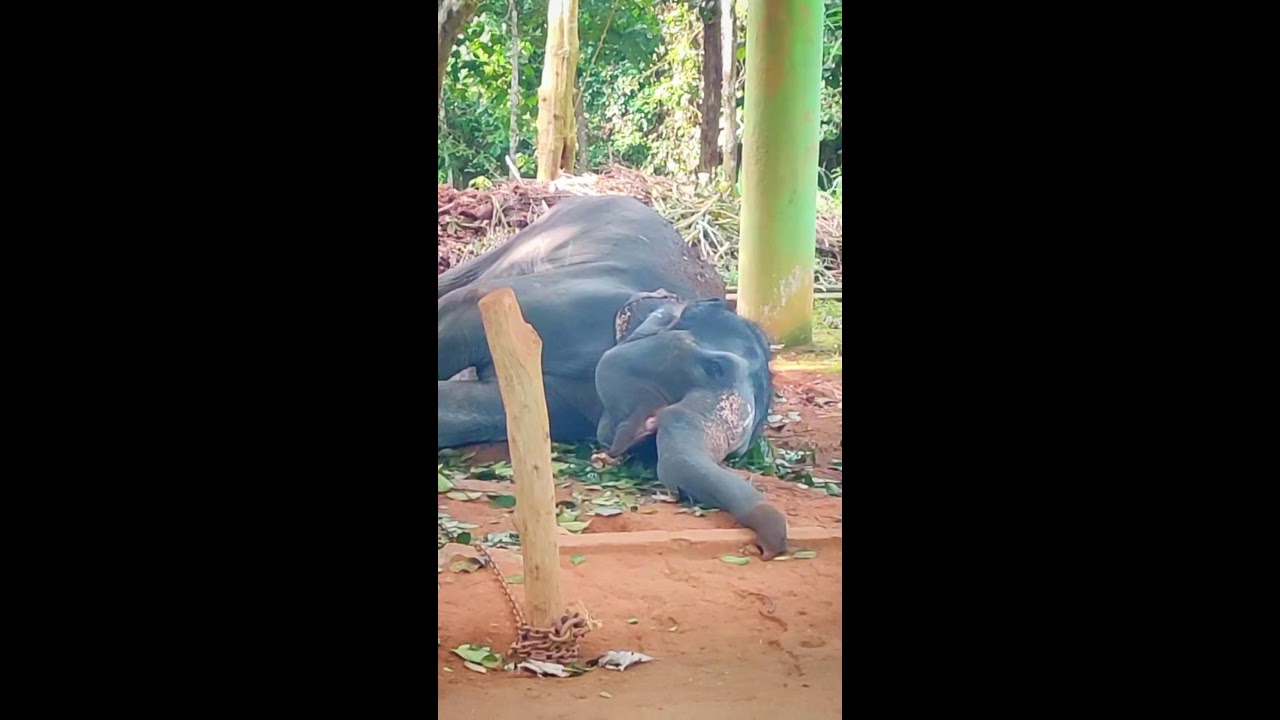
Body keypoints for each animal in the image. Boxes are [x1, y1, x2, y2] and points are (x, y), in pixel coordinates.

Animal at [438, 196, 788, 558]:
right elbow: (466, 308)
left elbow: (475, 410)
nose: (765, 549)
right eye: (714, 367)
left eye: (734, 454)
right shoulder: (570, 305)